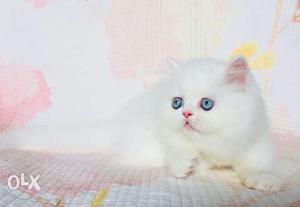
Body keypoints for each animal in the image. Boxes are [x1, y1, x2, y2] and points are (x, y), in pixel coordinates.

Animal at [0, 56, 282, 191]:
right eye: (177, 103)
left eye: (206, 104)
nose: (185, 114)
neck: (215, 145)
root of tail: (117, 123)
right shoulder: (169, 137)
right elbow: (178, 151)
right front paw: (187, 165)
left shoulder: (256, 138)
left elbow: (260, 163)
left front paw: (263, 180)